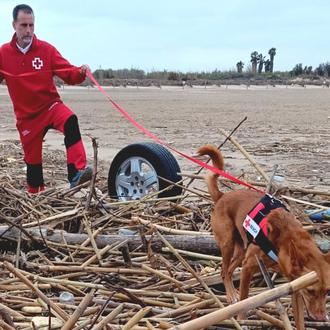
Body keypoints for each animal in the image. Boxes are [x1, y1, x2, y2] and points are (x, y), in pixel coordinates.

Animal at [199, 144, 330, 320]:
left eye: (327, 291)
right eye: (311, 291)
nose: (322, 318)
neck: (284, 240)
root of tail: (222, 196)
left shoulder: (295, 285)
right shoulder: (248, 267)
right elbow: (244, 300)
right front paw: (241, 320)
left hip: (241, 251)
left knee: (229, 270)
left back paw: (232, 293)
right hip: (227, 244)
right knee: (224, 271)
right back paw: (231, 296)